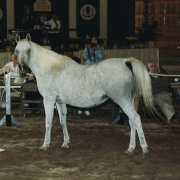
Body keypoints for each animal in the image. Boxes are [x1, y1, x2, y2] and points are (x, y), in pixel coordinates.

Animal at [14, 34, 157, 156]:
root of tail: (126, 62)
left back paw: (145, 149)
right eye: (16, 51)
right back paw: (130, 148)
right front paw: (66, 143)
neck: (51, 69)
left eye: (29, 50)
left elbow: (48, 122)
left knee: (136, 119)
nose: (21, 67)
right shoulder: (60, 102)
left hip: (123, 101)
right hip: (128, 101)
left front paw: (45, 145)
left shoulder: (48, 100)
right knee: (132, 121)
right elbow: (62, 121)